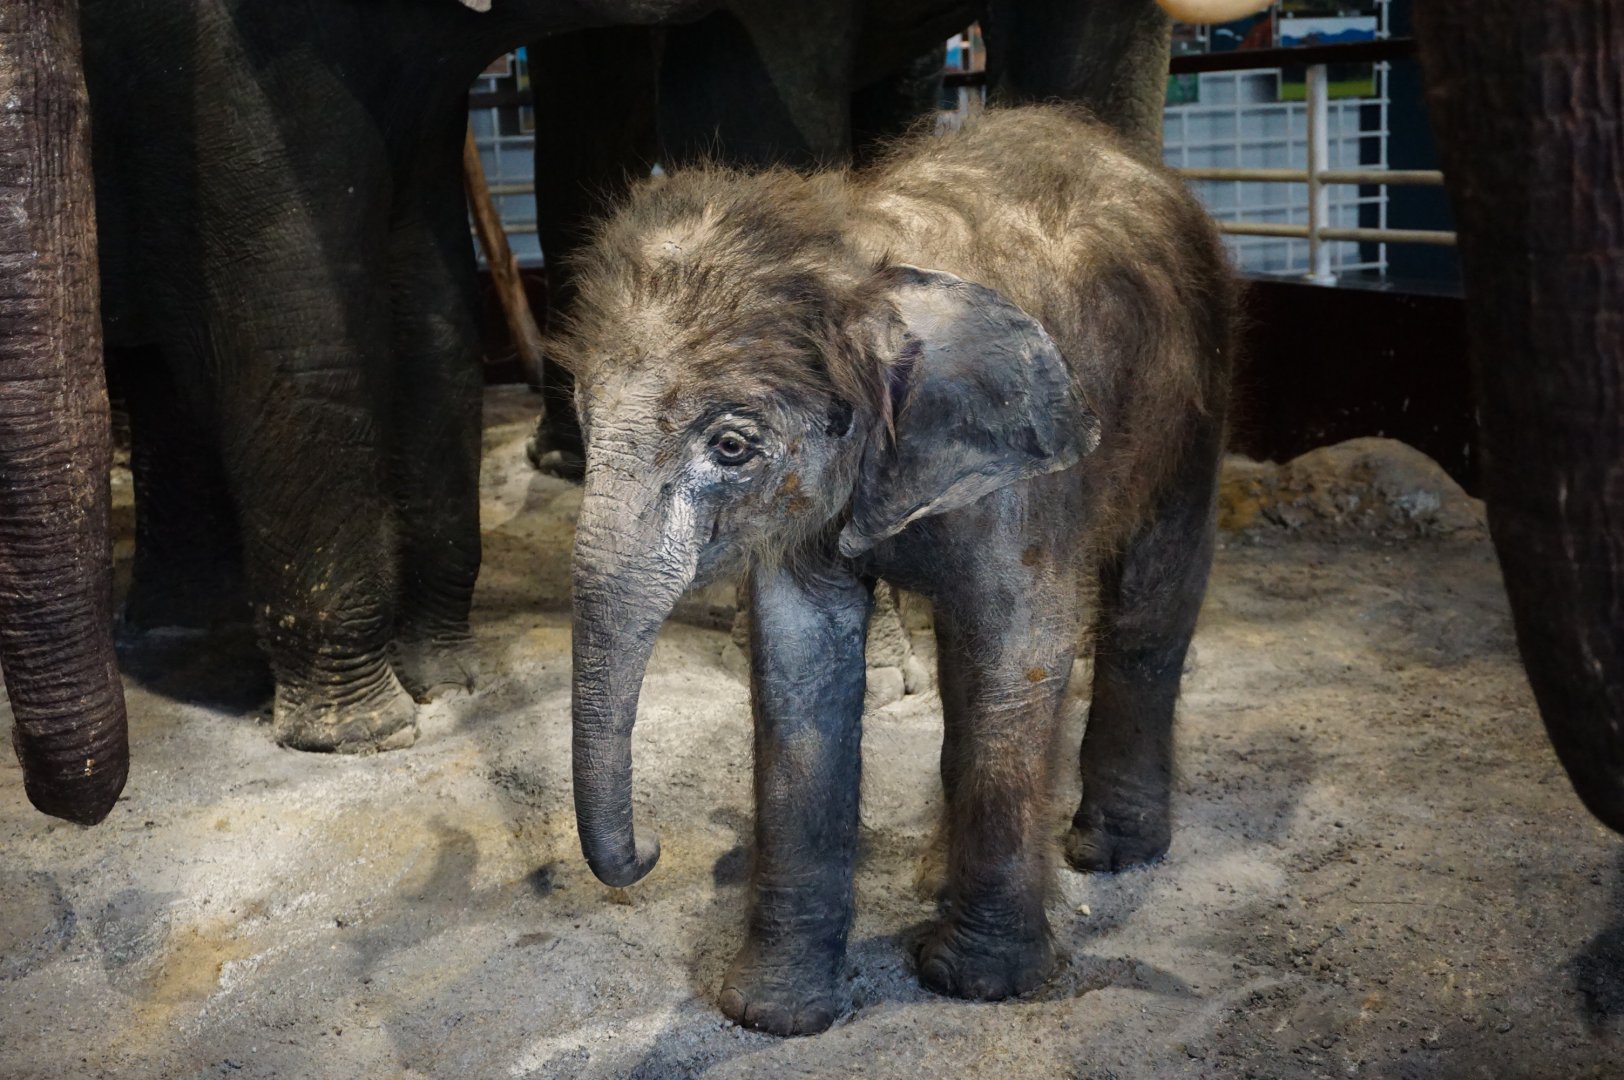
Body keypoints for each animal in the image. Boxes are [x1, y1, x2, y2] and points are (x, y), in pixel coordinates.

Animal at [549, 105, 1237, 1034]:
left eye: (730, 446)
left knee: (1153, 594)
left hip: (1198, 388)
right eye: (581, 421)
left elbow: (1023, 647)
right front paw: (775, 1015)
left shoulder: (1027, 475)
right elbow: (800, 666)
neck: (857, 256)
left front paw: (977, 983)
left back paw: (1110, 852)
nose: (655, 849)